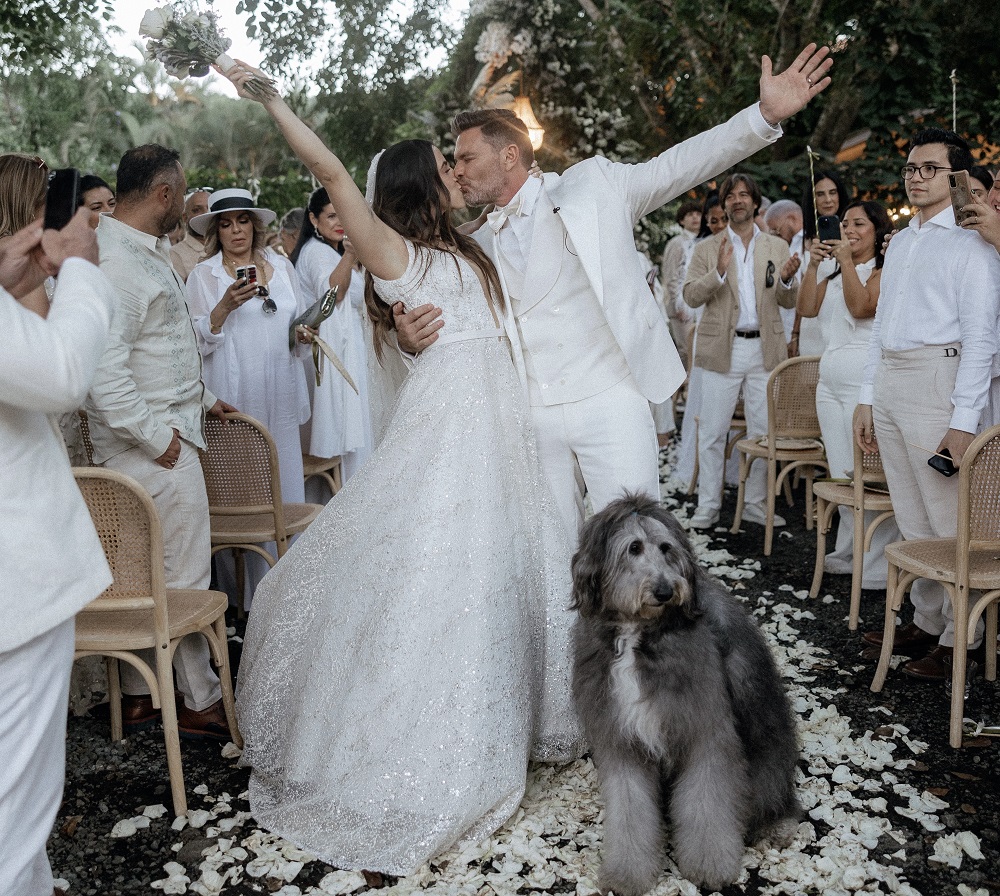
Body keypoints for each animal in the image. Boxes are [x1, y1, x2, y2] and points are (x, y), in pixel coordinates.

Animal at [576, 494, 800, 892]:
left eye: (666, 548)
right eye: (634, 548)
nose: (665, 591)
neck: (638, 635)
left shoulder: (706, 731)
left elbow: (707, 805)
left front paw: (710, 866)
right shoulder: (623, 741)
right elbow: (630, 809)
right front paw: (628, 873)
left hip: (766, 751)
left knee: (775, 796)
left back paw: (778, 826)